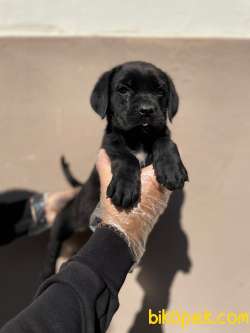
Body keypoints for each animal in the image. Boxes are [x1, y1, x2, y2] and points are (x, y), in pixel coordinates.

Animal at [42, 60, 188, 278]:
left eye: (160, 91)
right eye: (123, 90)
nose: (147, 110)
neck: (139, 138)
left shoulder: (160, 131)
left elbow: (165, 141)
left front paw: (171, 169)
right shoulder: (110, 143)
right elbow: (126, 156)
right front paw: (125, 187)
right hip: (68, 218)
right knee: (54, 241)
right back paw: (46, 272)